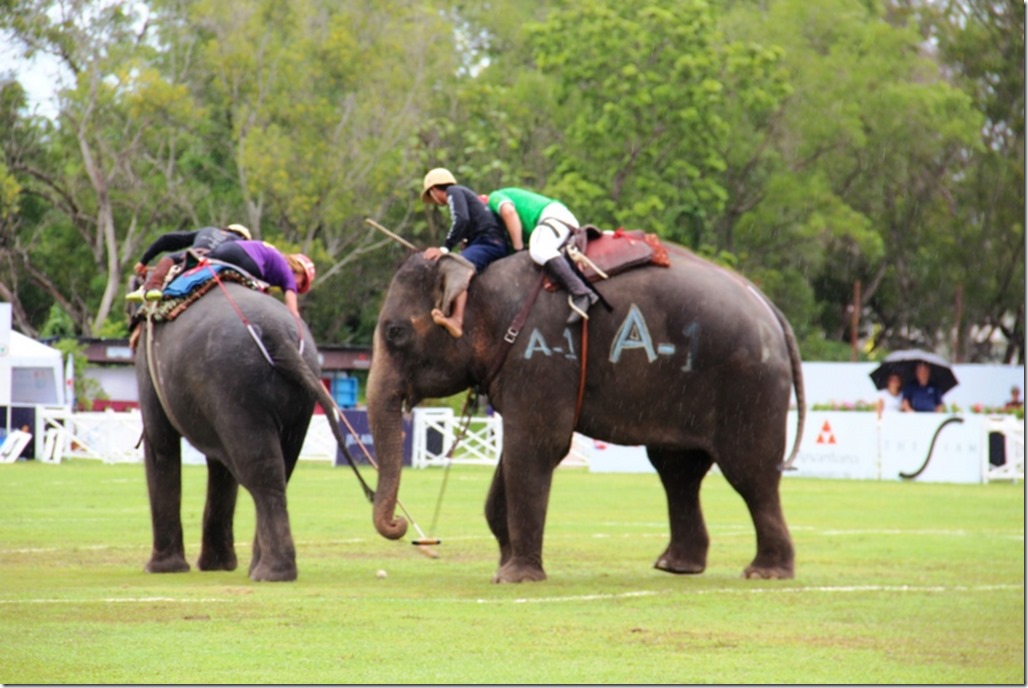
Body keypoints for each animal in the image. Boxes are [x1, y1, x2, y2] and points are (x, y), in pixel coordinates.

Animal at [133, 279, 361, 580]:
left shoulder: (149, 367)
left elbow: (161, 444)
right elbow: (220, 466)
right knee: (279, 469)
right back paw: (262, 568)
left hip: (236, 389)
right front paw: (217, 566)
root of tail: (280, 337)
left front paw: (161, 569)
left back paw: (270, 573)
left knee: (259, 469)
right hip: (299, 399)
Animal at [365, 243, 805, 584]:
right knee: (678, 470)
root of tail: (770, 308)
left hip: (748, 386)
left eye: (395, 333)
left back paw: (764, 573)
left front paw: (515, 577)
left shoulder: (542, 354)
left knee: (750, 473)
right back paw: (676, 566)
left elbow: (538, 448)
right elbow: (515, 456)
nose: (403, 526)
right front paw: (504, 565)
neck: (483, 283)